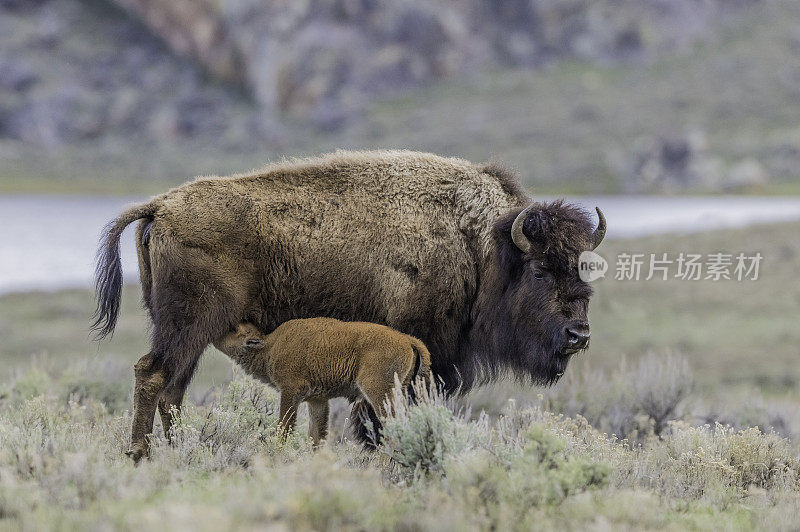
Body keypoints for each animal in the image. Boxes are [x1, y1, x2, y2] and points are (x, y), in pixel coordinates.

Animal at [94, 150, 604, 458]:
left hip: (188, 332)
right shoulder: (422, 355)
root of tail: (161, 205)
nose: (578, 335)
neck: (478, 245)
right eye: (539, 270)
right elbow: (376, 419)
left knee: (173, 388)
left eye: (584, 268)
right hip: (188, 325)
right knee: (153, 376)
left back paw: (178, 450)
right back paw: (140, 454)